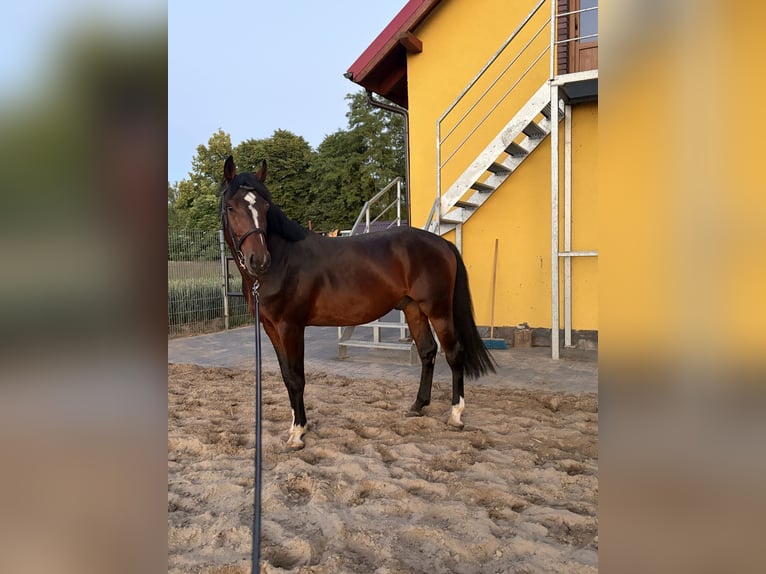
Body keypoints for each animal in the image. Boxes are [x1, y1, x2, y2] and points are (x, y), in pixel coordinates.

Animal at [220, 155, 495, 449]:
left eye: (264, 206)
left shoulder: (290, 327)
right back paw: (418, 405)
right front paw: (294, 425)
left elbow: (296, 377)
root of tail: (442, 245)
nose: (259, 261)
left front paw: (298, 431)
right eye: (231, 207)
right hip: (413, 309)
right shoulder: (271, 327)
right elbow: (286, 375)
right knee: (427, 351)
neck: (283, 260)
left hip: (439, 310)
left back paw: (455, 414)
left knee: (454, 353)